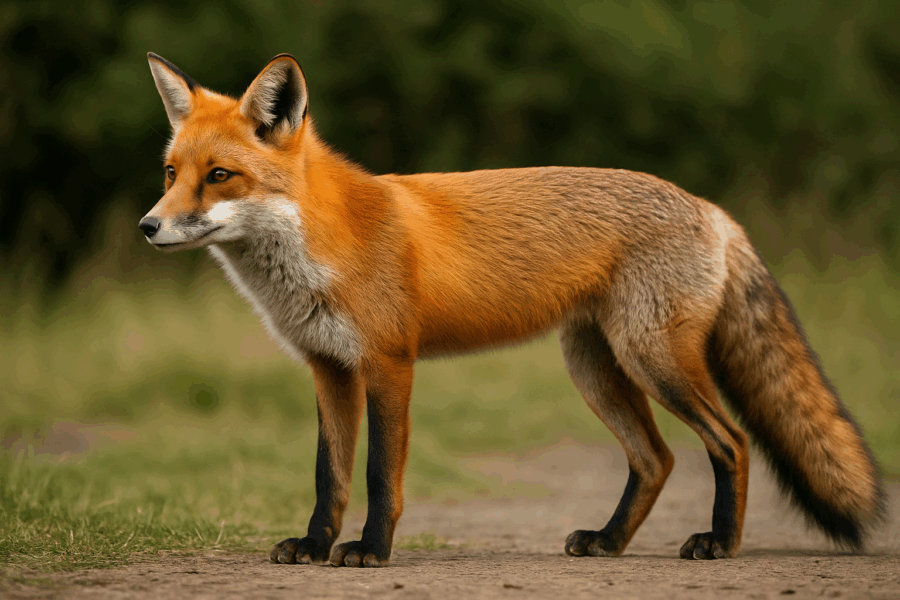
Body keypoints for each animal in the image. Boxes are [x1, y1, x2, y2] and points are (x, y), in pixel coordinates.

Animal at [140, 52, 885, 567]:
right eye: (171, 173)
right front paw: (315, 545)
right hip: (595, 369)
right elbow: (331, 476)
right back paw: (609, 541)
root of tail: (711, 208)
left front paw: (370, 551)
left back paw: (721, 544)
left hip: (654, 360)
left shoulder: (388, 363)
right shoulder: (328, 368)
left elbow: (380, 474)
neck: (323, 242)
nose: (148, 227)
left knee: (729, 442)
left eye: (220, 176)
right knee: (656, 459)